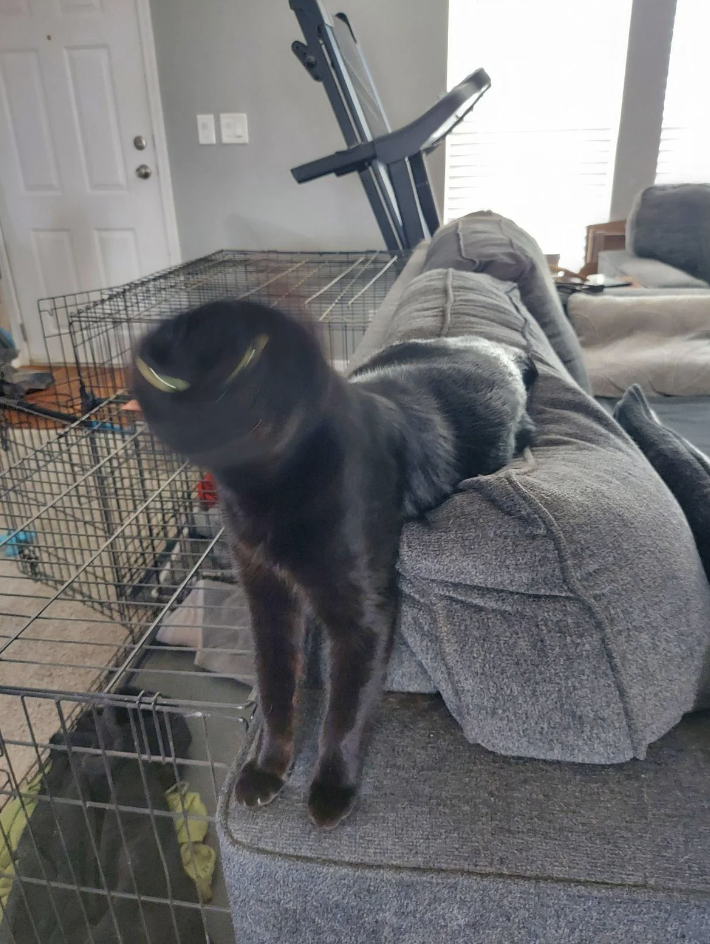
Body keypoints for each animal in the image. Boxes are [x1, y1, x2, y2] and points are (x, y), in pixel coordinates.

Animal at [131, 298, 536, 828]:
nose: (209, 411)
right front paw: (267, 769)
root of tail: (493, 345)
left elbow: (345, 709)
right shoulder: (266, 597)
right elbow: (276, 687)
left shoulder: (361, 615)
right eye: (168, 381)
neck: (268, 490)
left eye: (248, 360)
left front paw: (331, 788)